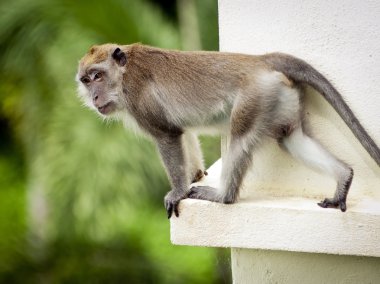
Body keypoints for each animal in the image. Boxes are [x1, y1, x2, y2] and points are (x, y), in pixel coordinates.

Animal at [75, 43, 380, 219]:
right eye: (86, 81)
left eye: (98, 76)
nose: (95, 98)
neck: (124, 73)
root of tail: (260, 61)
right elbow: (182, 132)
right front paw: (195, 174)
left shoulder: (139, 100)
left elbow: (168, 135)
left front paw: (179, 190)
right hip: (278, 97)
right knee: (291, 138)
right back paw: (343, 178)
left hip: (254, 97)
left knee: (240, 137)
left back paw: (224, 197)